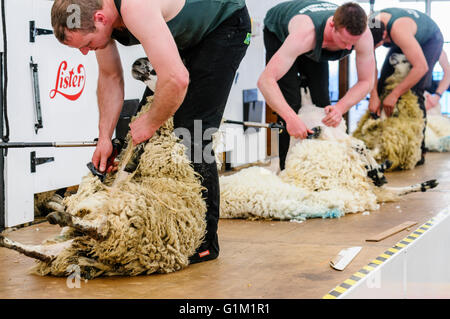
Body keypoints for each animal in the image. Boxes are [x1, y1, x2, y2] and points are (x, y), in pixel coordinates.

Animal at [0, 96, 207, 278]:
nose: (149, 100)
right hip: (77, 242)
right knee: (43, 251)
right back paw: (10, 239)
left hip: (123, 223)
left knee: (100, 229)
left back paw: (61, 217)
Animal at [220, 89, 438, 221]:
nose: (315, 130)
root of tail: (307, 107)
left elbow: (360, 148)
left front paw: (377, 170)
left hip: (338, 136)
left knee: (360, 148)